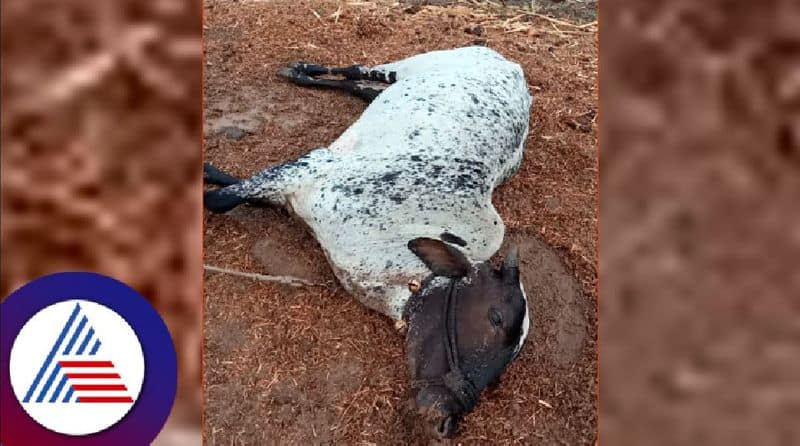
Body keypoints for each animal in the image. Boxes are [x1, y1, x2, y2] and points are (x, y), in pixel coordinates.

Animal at [205, 46, 532, 440]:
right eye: (494, 317)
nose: (447, 421)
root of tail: (509, 63)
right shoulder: (310, 167)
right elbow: (220, 198)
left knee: (363, 89)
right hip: (412, 64)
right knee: (357, 71)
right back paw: (301, 70)